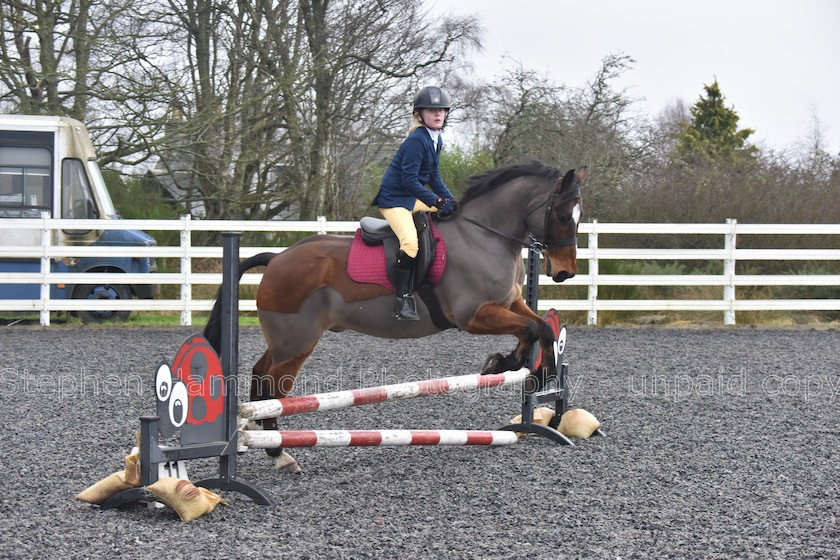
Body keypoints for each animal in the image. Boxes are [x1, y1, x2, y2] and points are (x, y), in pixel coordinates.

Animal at [205, 160, 584, 470]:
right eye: (562, 216)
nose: (565, 272)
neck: (483, 235)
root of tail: (277, 259)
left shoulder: (510, 303)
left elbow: (540, 328)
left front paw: (529, 372)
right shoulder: (473, 317)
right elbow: (530, 330)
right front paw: (514, 368)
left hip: (285, 342)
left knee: (260, 374)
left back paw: (253, 434)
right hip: (297, 342)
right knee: (275, 386)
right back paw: (278, 453)